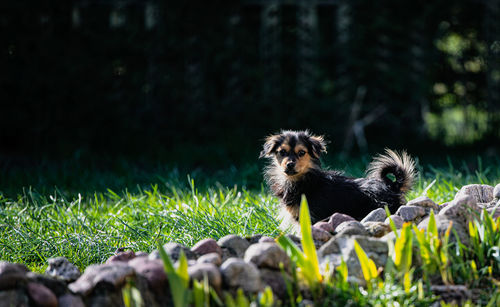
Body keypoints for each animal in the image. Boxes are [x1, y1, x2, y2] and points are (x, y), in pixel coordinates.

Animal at [260, 130, 416, 226]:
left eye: (302, 153)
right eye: (282, 152)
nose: (290, 164)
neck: (303, 180)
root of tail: (392, 185)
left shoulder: (312, 217)